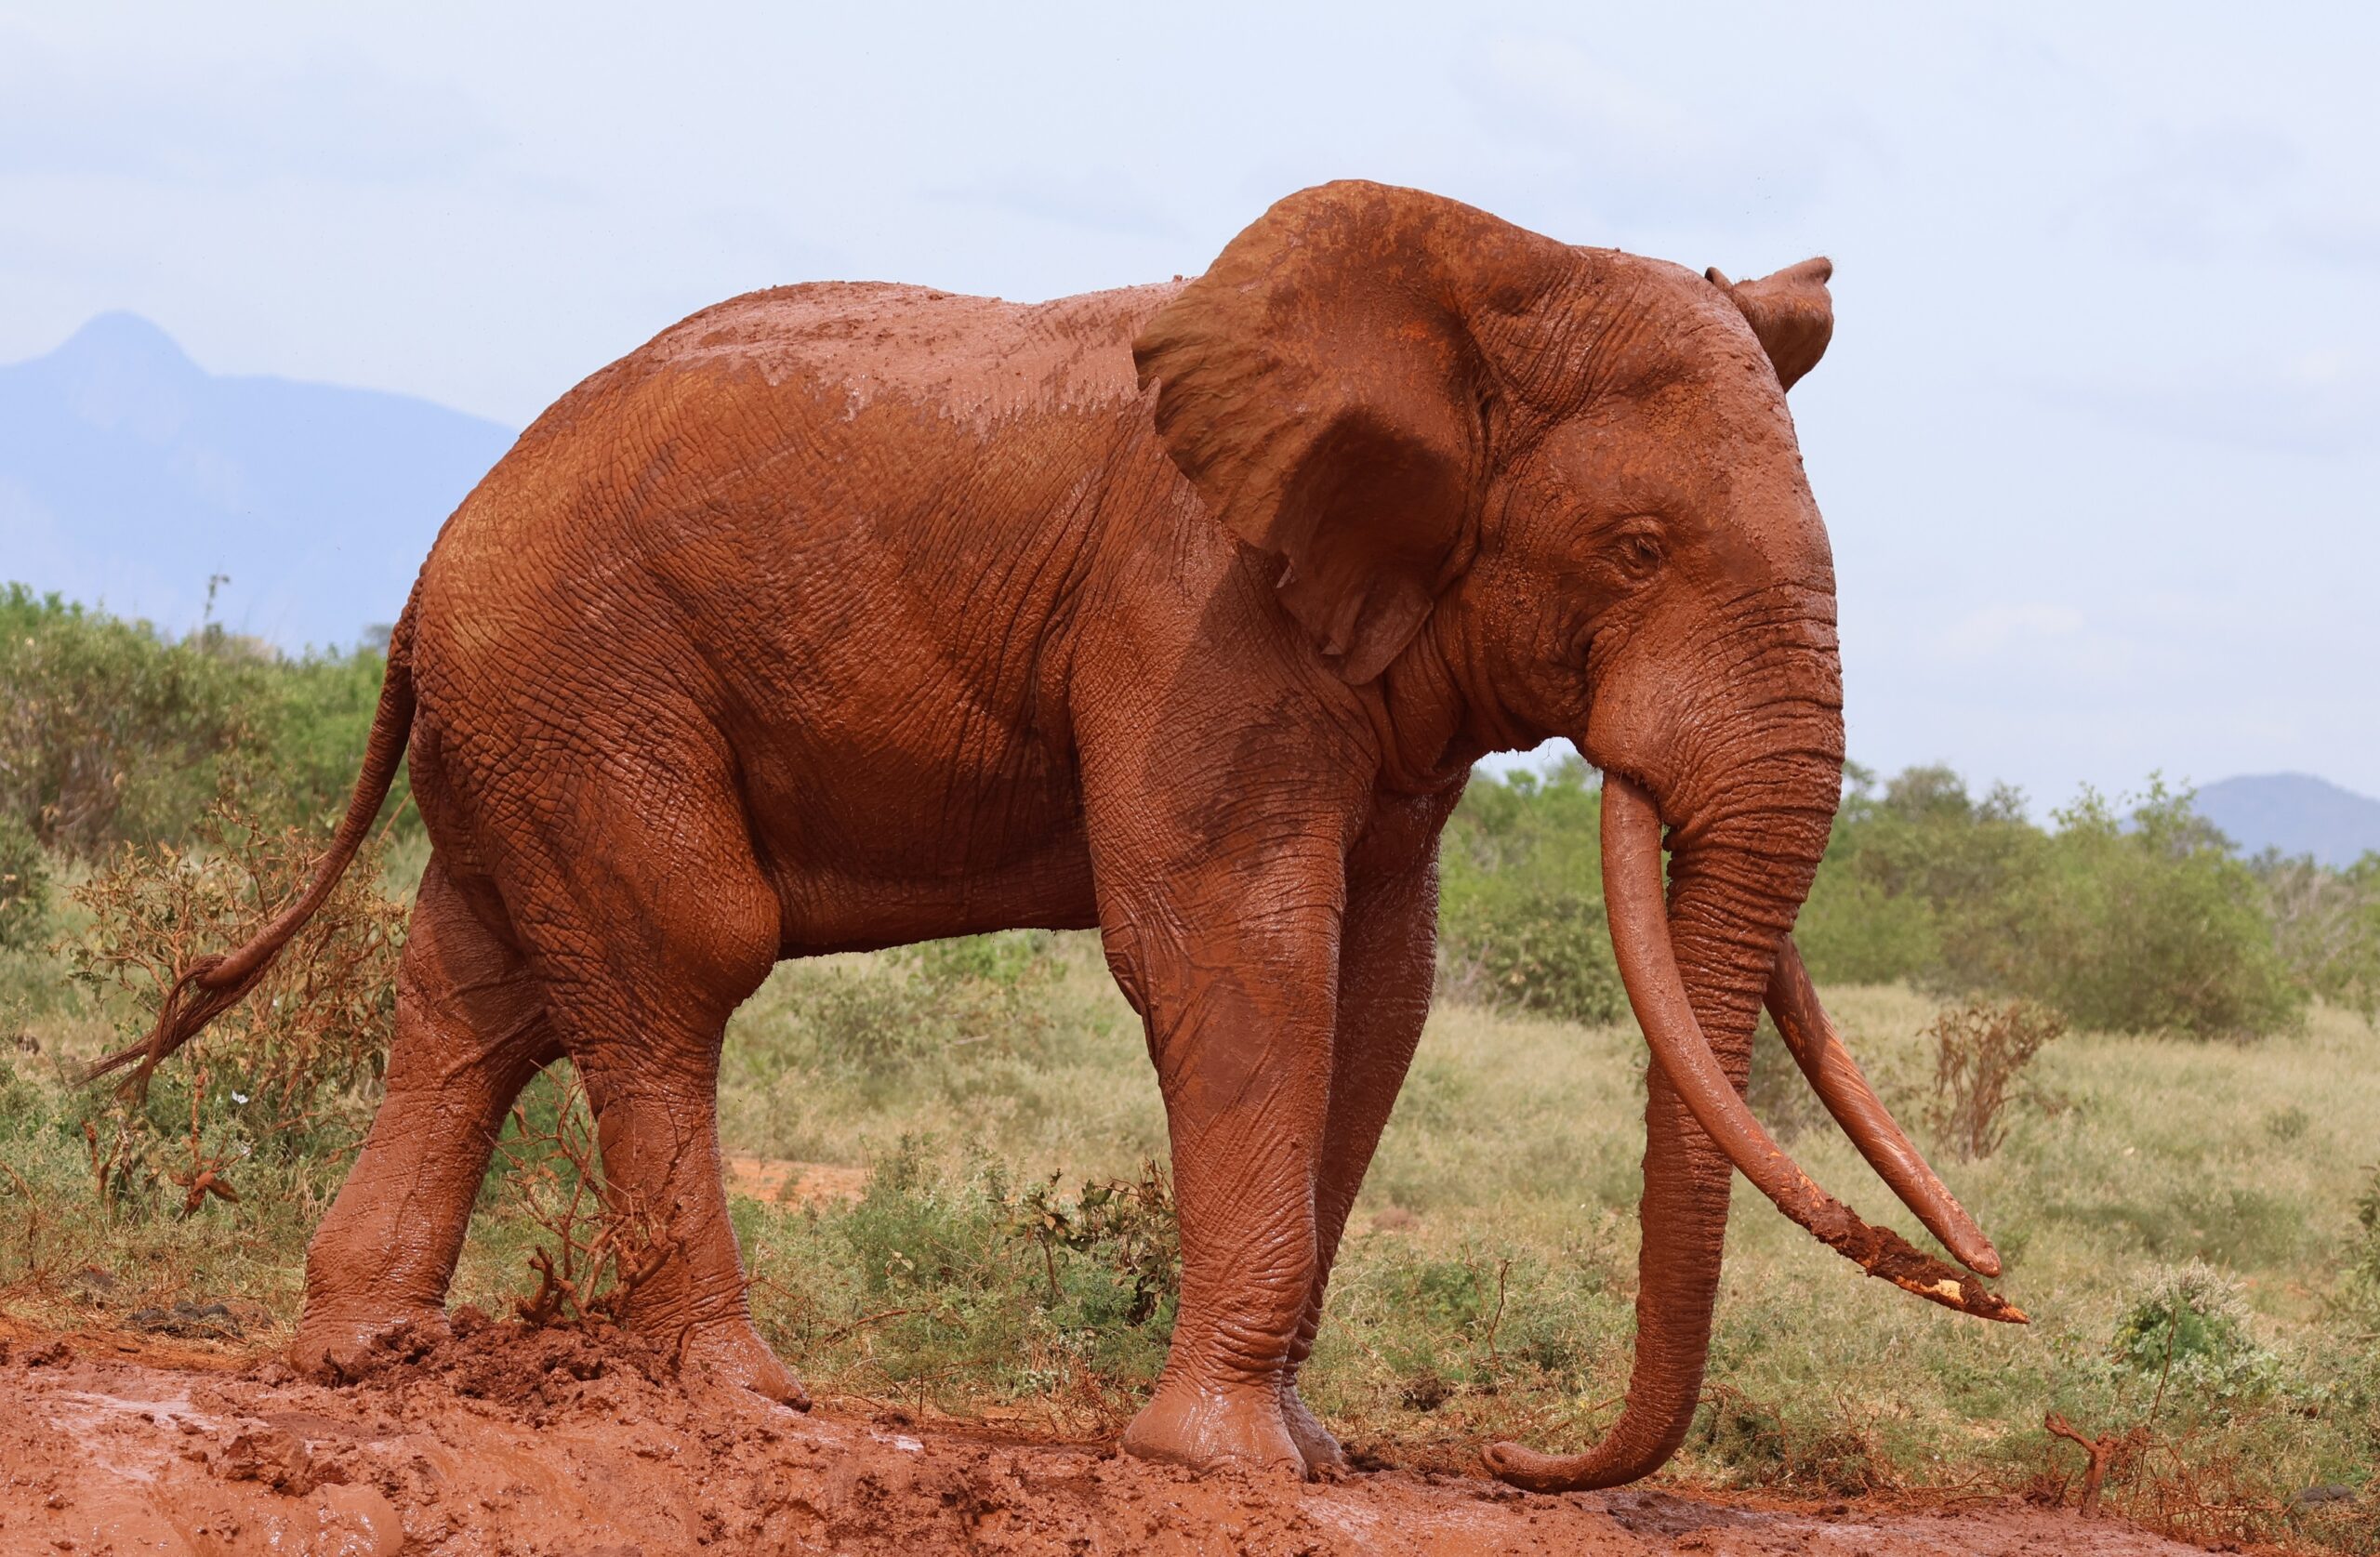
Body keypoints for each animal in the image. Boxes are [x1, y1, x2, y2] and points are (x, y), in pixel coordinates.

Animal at [96, 179, 2020, 1490]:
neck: (1478, 274)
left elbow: (1381, 982)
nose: (1508, 1464)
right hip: (586, 680)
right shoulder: (1190, 596)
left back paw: (368, 1360)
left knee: (476, 997)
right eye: (1633, 549)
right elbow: (1239, 944)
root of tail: (427, 577)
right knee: (670, 961)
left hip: (534, 713)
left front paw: (1307, 1455)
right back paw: (741, 1395)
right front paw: (1231, 1469)